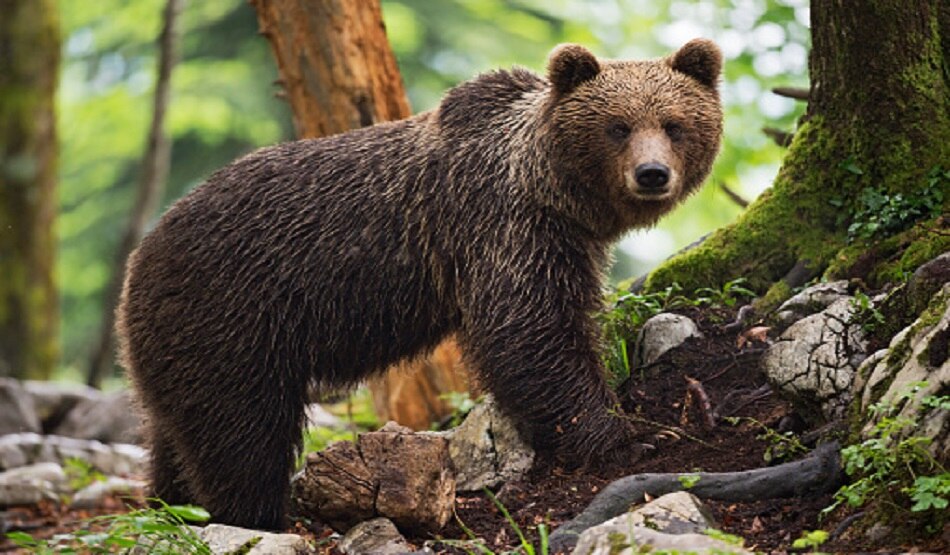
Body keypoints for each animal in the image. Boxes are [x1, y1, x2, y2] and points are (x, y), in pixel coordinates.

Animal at [116, 39, 723, 530]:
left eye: (674, 124)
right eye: (617, 126)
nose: (651, 174)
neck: (554, 191)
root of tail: (140, 257)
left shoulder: (563, 239)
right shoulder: (505, 228)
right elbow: (531, 333)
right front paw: (628, 435)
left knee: (175, 432)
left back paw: (171, 504)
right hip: (232, 316)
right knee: (242, 433)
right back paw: (258, 513)